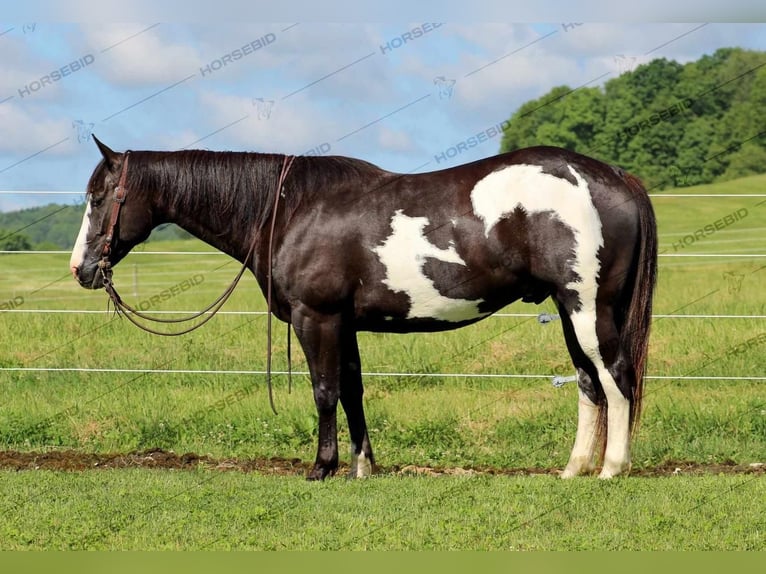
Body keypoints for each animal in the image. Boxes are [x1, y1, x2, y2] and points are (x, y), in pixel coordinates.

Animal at [70, 138, 660, 482]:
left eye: (98, 197)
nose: (81, 268)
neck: (291, 210)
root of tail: (616, 177)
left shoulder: (316, 318)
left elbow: (324, 391)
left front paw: (321, 467)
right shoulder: (343, 324)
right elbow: (352, 389)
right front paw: (362, 466)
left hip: (588, 308)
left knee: (615, 377)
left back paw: (612, 468)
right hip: (568, 311)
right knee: (588, 383)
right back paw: (574, 469)